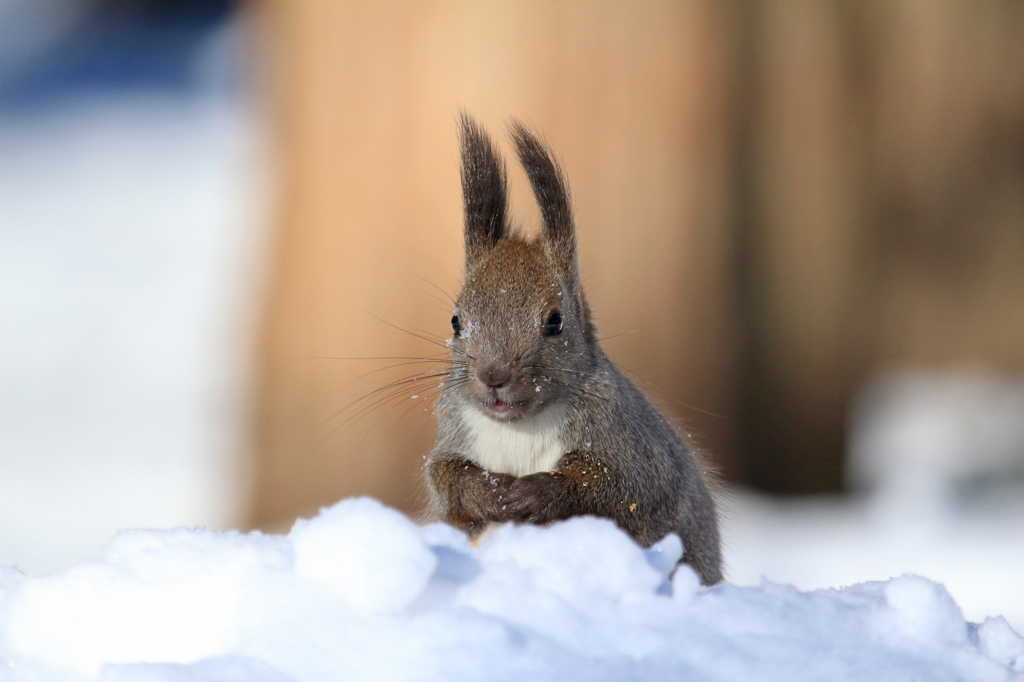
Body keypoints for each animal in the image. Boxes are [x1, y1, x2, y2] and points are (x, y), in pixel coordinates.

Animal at [423, 114, 720, 581]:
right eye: (455, 321)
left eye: (554, 322)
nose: (493, 376)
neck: (521, 425)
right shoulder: (452, 434)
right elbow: (444, 480)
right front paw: (489, 491)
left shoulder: (634, 449)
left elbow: (613, 485)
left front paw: (532, 493)